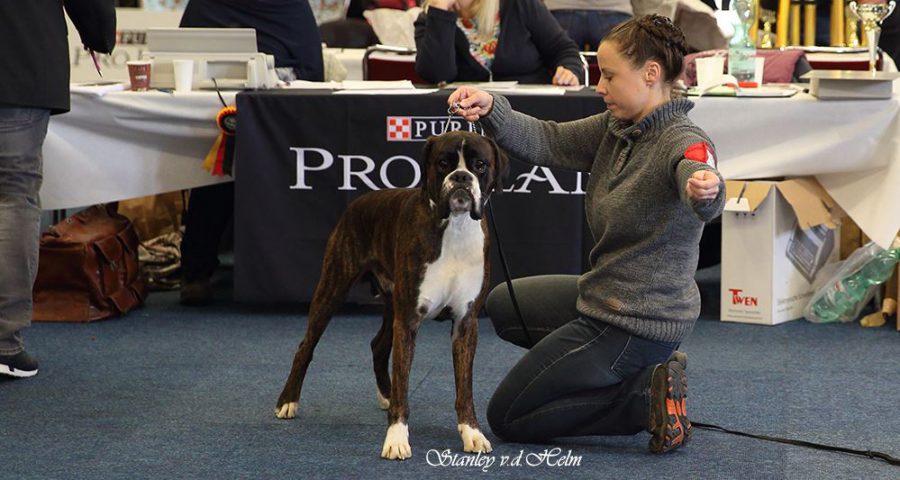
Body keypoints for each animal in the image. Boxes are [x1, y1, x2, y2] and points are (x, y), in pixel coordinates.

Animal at [274, 129, 510, 460]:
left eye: (480, 165)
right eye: (443, 163)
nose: (461, 177)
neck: (455, 226)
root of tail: (361, 201)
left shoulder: (466, 323)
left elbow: (464, 387)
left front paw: (472, 433)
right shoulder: (409, 319)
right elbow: (403, 383)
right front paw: (397, 438)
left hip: (391, 304)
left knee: (378, 345)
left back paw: (385, 395)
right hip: (333, 287)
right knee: (305, 346)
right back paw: (288, 401)